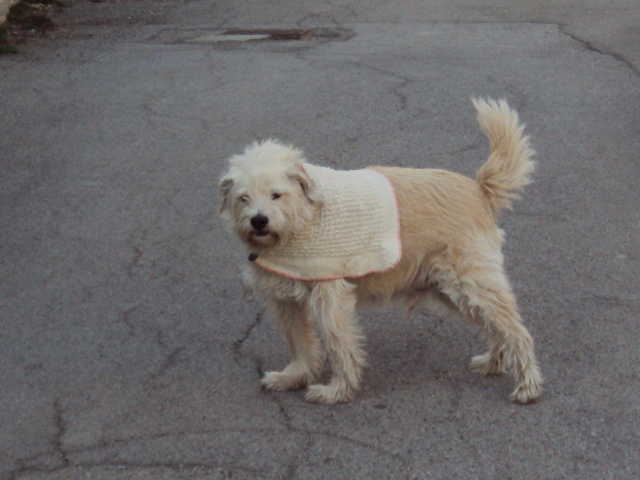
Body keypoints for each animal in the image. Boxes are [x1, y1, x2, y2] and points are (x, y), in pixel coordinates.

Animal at [219, 98, 540, 404]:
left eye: (276, 195)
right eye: (243, 198)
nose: (259, 220)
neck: (302, 219)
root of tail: (478, 189)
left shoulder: (331, 298)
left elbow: (339, 345)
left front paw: (337, 391)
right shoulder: (285, 301)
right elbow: (299, 342)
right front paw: (295, 376)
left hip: (472, 284)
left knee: (516, 331)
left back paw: (527, 386)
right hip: (452, 291)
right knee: (498, 329)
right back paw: (494, 362)